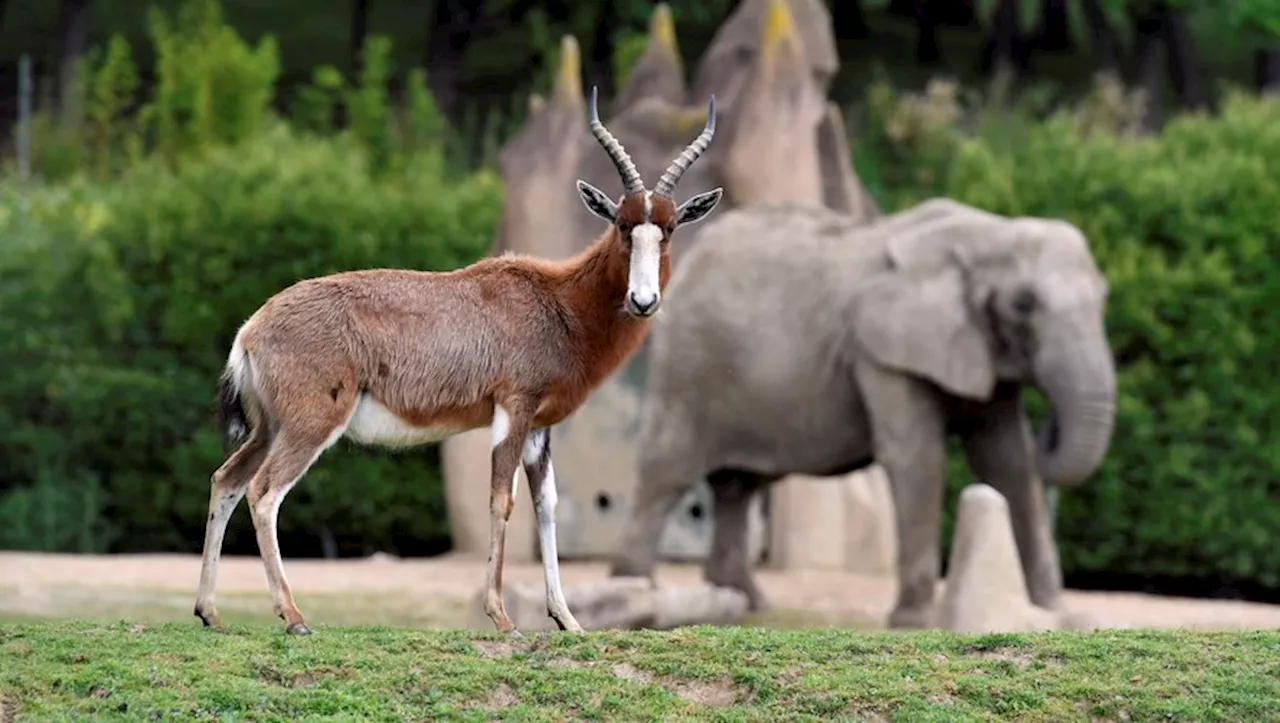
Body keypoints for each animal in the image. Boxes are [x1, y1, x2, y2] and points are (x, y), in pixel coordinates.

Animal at [194, 87, 727, 634]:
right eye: (622, 224)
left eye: (669, 228)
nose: (643, 300)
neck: (557, 300)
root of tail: (252, 328)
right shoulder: (513, 409)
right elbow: (501, 499)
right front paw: (503, 618)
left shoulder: (540, 428)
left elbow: (548, 507)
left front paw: (568, 620)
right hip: (309, 425)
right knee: (264, 493)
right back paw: (294, 616)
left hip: (269, 429)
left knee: (226, 481)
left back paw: (210, 612)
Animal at [604, 197, 1116, 627]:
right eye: (1024, 304)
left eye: (1105, 297)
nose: (1049, 424)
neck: (988, 232)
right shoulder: (883, 353)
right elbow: (917, 459)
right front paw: (916, 623)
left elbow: (1009, 463)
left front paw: (1059, 617)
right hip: (687, 364)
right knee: (668, 470)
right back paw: (635, 594)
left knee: (738, 484)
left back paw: (744, 603)